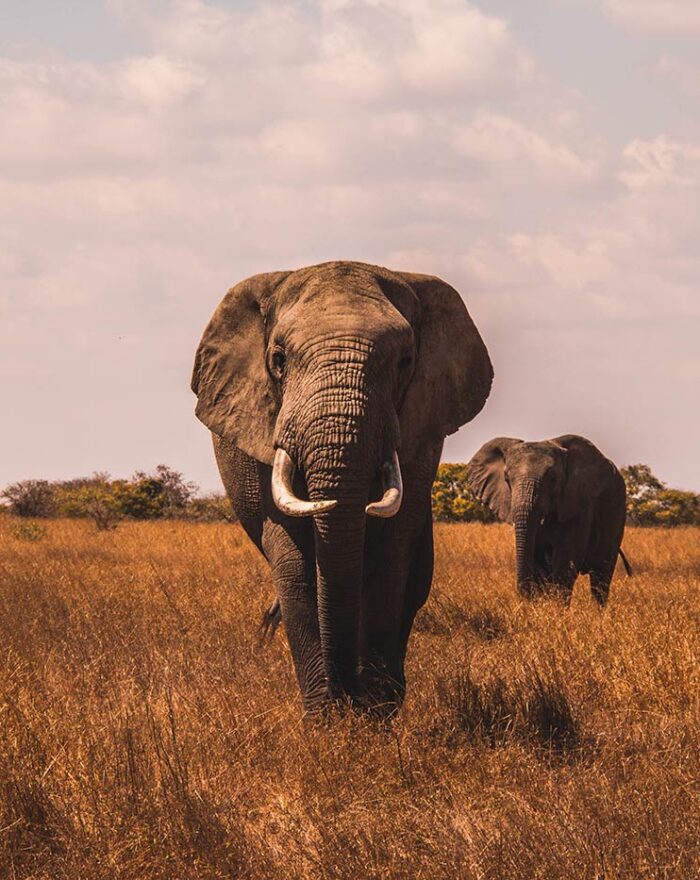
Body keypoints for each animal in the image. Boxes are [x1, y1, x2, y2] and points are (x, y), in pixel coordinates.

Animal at [192, 260, 493, 713]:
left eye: (406, 361)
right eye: (278, 359)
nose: (346, 694)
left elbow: (391, 553)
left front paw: (374, 713)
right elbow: (295, 560)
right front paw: (326, 717)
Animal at [467, 435, 630, 606]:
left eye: (553, 479)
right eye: (506, 479)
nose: (524, 597)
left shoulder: (580, 502)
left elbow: (566, 561)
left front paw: (557, 609)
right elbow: (539, 562)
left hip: (617, 513)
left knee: (601, 576)